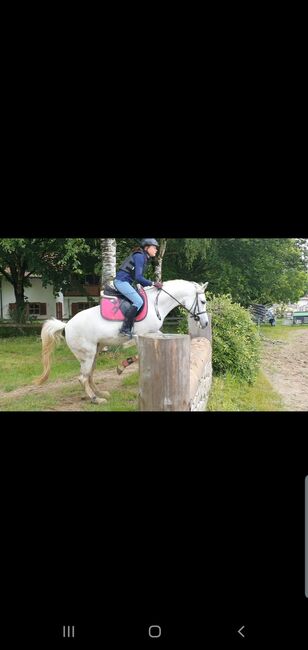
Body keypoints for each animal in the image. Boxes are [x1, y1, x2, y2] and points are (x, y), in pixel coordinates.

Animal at [36, 278, 209, 400]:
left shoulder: (155, 332)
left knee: (90, 374)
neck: (157, 304)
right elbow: (139, 355)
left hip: (95, 351)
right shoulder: (141, 335)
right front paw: (121, 367)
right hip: (87, 354)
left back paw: (100, 393)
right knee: (83, 377)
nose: (205, 323)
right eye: (203, 301)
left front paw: (122, 366)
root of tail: (66, 325)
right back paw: (95, 399)